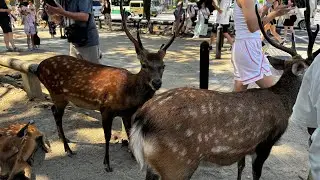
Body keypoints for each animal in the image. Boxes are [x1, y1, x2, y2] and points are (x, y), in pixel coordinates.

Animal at [34, 0, 185, 172]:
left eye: (163, 66)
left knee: (53, 110)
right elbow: (107, 135)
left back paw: (64, 139)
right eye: (144, 65)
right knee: (57, 115)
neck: (128, 93)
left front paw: (133, 155)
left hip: (59, 96)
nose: (157, 82)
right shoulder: (106, 108)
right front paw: (107, 163)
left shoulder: (127, 113)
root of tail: (38, 68)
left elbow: (129, 132)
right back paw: (68, 149)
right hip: (57, 92)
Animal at [129, 2, 320, 180]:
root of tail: (141, 120)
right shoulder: (266, 141)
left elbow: (240, 166)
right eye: (311, 66)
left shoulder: (246, 146)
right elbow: (256, 173)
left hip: (155, 165)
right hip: (177, 163)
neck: (283, 102)